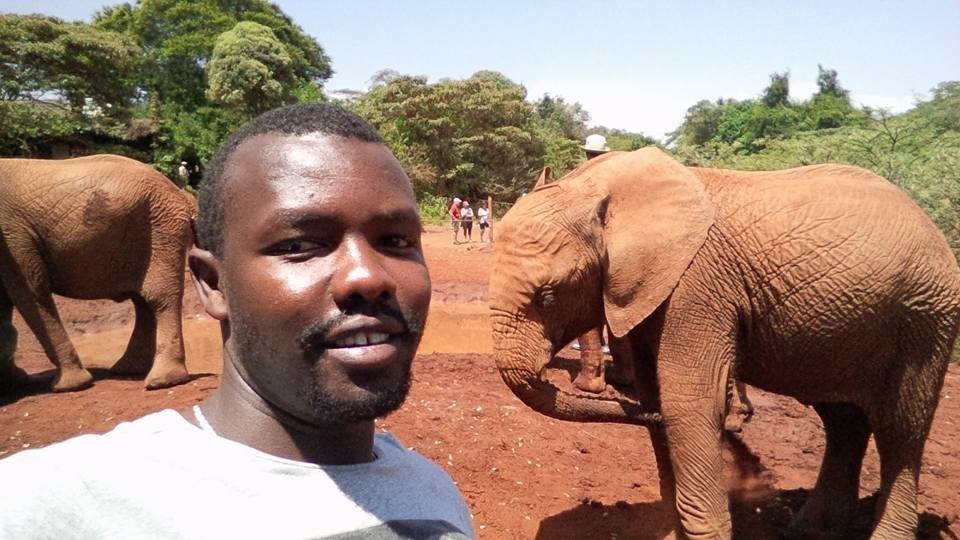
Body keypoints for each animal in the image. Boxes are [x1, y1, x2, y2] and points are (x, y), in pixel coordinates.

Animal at [0, 155, 195, 392]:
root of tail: (179, 192)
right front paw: (14, 381)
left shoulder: (13, 235)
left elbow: (28, 291)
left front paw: (68, 386)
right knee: (143, 301)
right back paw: (127, 370)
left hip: (162, 226)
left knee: (158, 297)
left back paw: (162, 381)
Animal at [488, 147, 960, 539]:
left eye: (548, 297)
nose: (743, 446)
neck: (600, 189)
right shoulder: (648, 290)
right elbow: (659, 395)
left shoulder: (697, 287)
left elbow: (689, 405)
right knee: (843, 420)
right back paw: (810, 532)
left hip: (925, 318)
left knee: (901, 431)